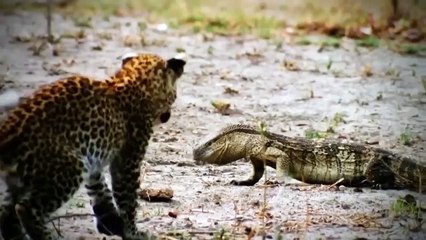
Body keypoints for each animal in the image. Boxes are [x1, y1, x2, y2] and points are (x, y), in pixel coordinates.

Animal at [0, 53, 186, 240]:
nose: (168, 115)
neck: (135, 83)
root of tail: (8, 131)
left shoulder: (93, 160)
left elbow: (100, 189)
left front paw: (111, 223)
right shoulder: (127, 161)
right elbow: (127, 199)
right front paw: (132, 232)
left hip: (18, 180)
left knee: (7, 213)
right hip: (68, 168)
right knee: (25, 208)